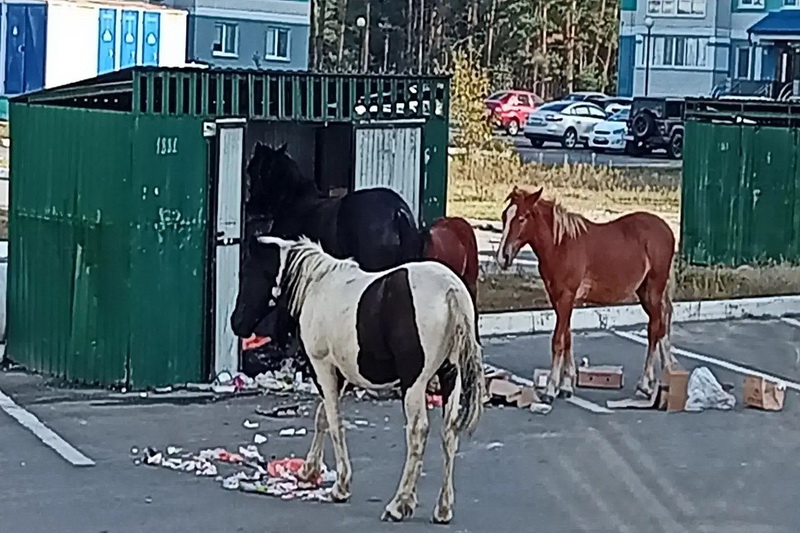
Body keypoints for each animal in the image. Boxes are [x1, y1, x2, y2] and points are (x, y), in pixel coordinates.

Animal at [230, 235, 484, 524]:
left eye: (249, 273)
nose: (236, 323)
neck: (317, 286)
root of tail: (450, 291)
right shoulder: (340, 375)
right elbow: (322, 417)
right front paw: (308, 471)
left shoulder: (324, 368)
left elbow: (334, 421)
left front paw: (340, 486)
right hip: (451, 376)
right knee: (449, 433)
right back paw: (442, 509)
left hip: (414, 384)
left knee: (418, 432)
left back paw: (398, 505)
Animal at [496, 186, 677, 404]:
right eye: (505, 216)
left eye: (522, 218)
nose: (502, 257)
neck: (561, 245)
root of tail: (667, 230)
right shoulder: (559, 299)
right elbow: (567, 338)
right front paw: (566, 386)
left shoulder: (566, 296)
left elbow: (558, 341)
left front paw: (550, 389)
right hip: (644, 292)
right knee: (661, 328)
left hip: (654, 289)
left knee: (655, 329)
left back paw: (645, 383)